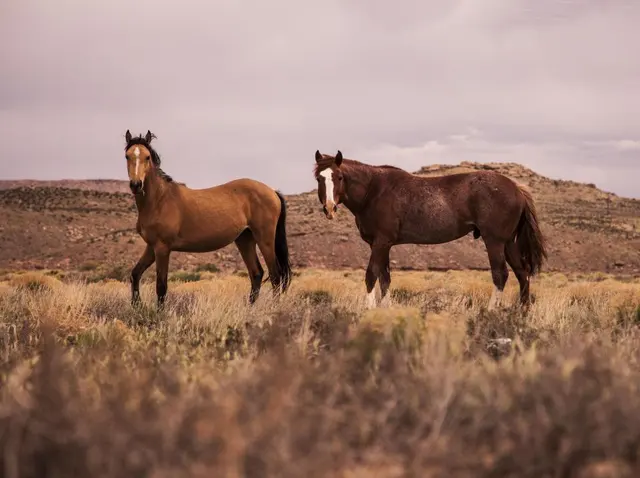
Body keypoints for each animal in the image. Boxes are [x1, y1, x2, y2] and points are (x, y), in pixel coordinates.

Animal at [123, 130, 292, 308]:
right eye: (127, 156)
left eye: (147, 157)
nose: (136, 185)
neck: (160, 200)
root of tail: (272, 191)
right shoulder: (151, 247)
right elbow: (135, 274)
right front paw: (136, 305)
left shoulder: (162, 248)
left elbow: (161, 286)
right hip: (245, 239)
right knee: (257, 273)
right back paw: (250, 309)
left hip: (265, 239)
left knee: (275, 276)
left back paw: (273, 308)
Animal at [313, 150, 548, 311]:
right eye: (319, 178)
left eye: (339, 177)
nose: (329, 208)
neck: (373, 191)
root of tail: (516, 188)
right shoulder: (384, 245)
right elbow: (385, 278)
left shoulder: (380, 243)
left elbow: (371, 275)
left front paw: (368, 309)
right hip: (508, 243)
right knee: (522, 273)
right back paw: (522, 313)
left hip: (495, 242)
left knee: (501, 275)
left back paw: (490, 311)